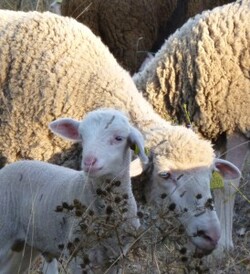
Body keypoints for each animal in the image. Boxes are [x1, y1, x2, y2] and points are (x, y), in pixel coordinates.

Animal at [0, 108, 147, 274]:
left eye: (118, 138)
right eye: (82, 137)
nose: (89, 162)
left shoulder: (117, 257)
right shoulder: (78, 255)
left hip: (27, 246)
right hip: (4, 232)